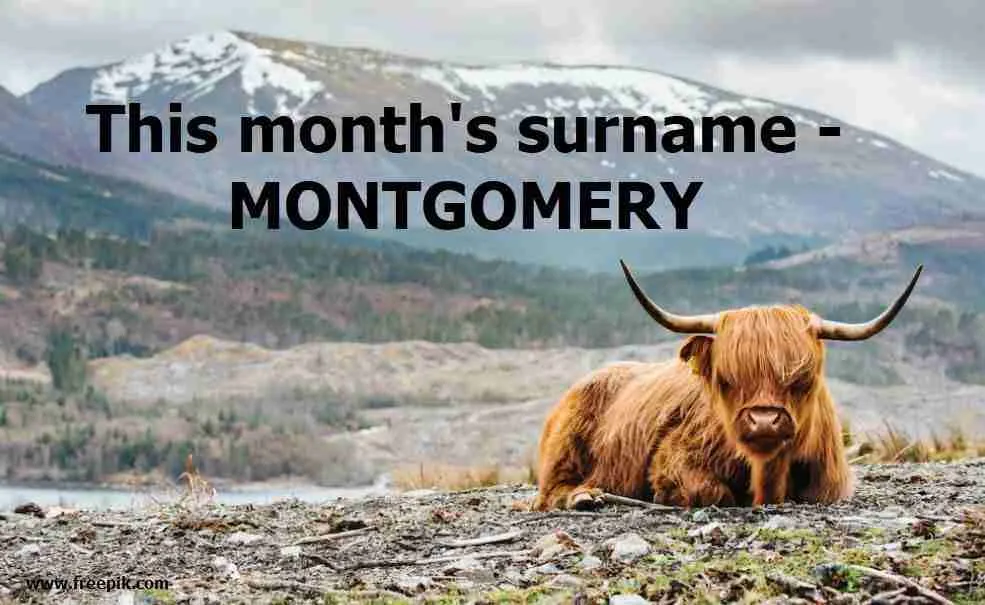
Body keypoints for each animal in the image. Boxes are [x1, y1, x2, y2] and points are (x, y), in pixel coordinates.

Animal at [532, 260, 924, 510]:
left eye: (803, 378)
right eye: (726, 378)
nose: (764, 421)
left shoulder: (831, 485)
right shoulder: (674, 460)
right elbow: (711, 492)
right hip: (565, 448)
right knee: (550, 491)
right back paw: (585, 497)